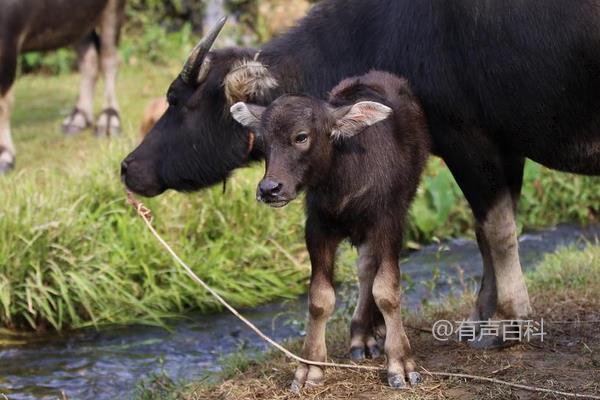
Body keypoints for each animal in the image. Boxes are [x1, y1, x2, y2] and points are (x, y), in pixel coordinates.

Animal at [0, 0, 124, 172]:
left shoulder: (7, 37)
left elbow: (2, 104)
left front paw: (4, 154)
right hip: (78, 18)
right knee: (89, 57)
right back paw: (77, 119)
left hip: (112, 7)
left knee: (109, 58)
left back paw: (108, 120)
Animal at [231, 70, 432, 390]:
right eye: (262, 142)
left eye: (301, 136)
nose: (270, 189)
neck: (344, 180)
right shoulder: (318, 228)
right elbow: (319, 298)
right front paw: (310, 368)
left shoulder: (388, 222)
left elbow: (387, 291)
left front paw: (400, 364)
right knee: (365, 267)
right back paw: (362, 336)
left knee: (370, 269)